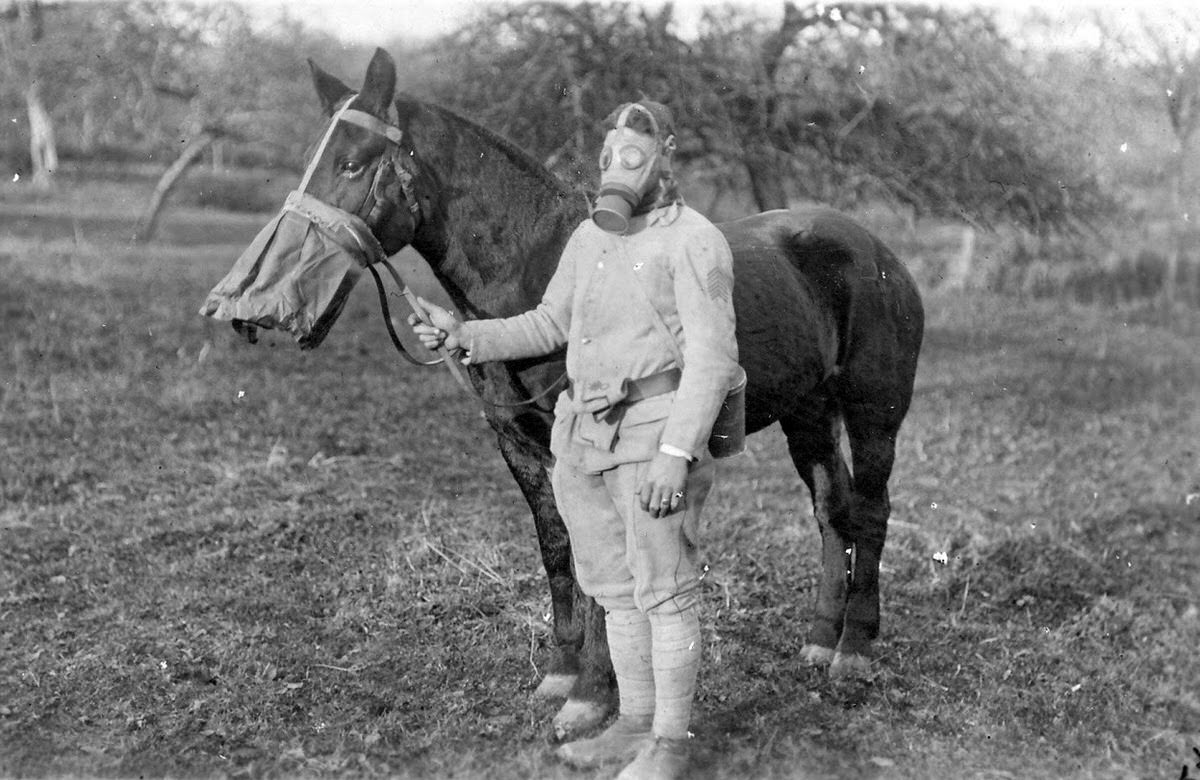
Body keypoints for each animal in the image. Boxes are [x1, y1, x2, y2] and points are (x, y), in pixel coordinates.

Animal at [201, 48, 924, 739]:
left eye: (352, 163)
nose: (253, 304)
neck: (543, 274)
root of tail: (876, 249)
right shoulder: (519, 448)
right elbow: (558, 553)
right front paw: (562, 673)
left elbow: (599, 565)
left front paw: (591, 696)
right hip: (809, 414)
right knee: (832, 512)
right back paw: (820, 641)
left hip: (874, 413)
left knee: (871, 511)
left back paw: (854, 651)